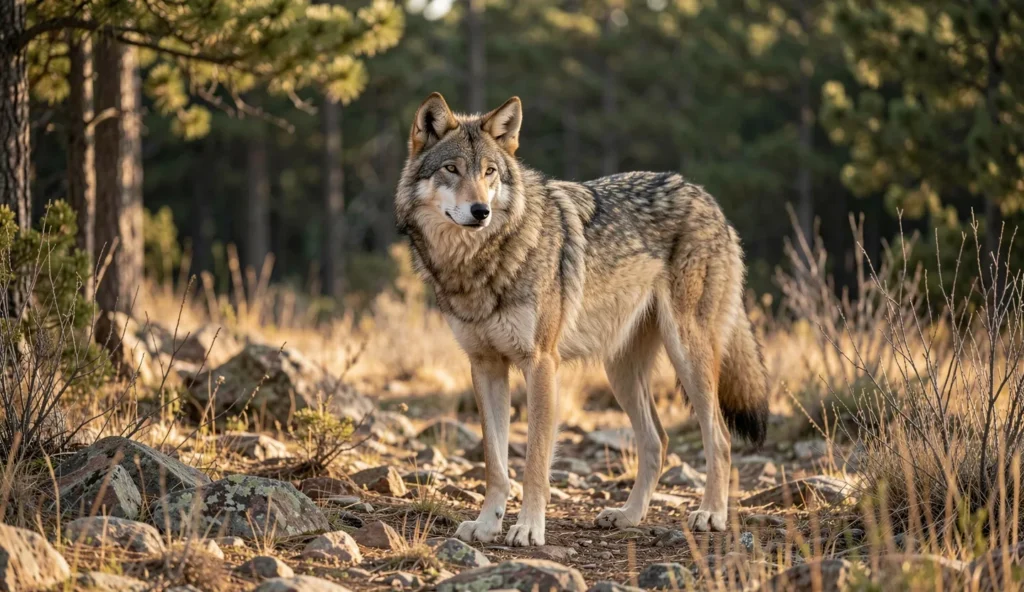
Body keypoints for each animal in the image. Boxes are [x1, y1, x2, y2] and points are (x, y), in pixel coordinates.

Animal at [395, 93, 769, 547]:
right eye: (451, 169)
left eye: (489, 172)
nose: (480, 211)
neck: (477, 263)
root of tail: (705, 196)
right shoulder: (484, 366)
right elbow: (495, 463)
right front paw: (487, 524)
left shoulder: (540, 364)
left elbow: (535, 461)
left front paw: (528, 528)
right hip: (620, 371)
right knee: (657, 440)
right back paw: (629, 515)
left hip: (688, 356)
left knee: (720, 437)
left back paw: (711, 513)